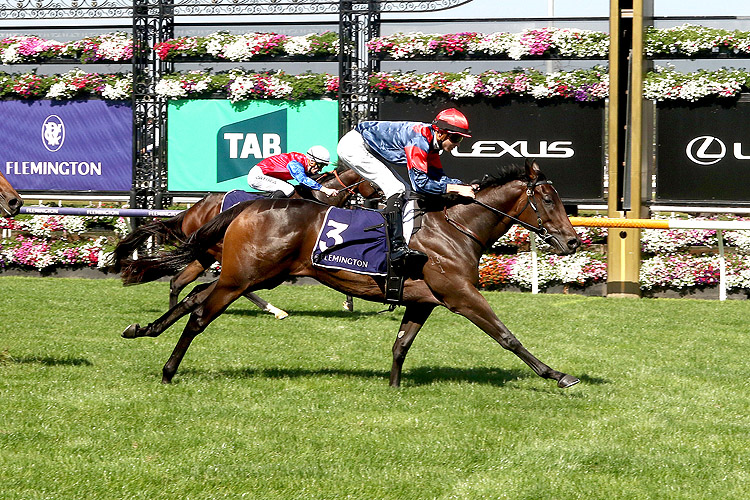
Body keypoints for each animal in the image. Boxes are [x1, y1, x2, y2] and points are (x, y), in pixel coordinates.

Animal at [110, 166, 382, 318]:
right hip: (225, 251)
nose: (381, 197)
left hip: (205, 253)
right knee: (240, 283)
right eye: (372, 180)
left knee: (177, 281)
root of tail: (190, 211)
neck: (318, 198)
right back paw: (274, 310)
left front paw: (349, 302)